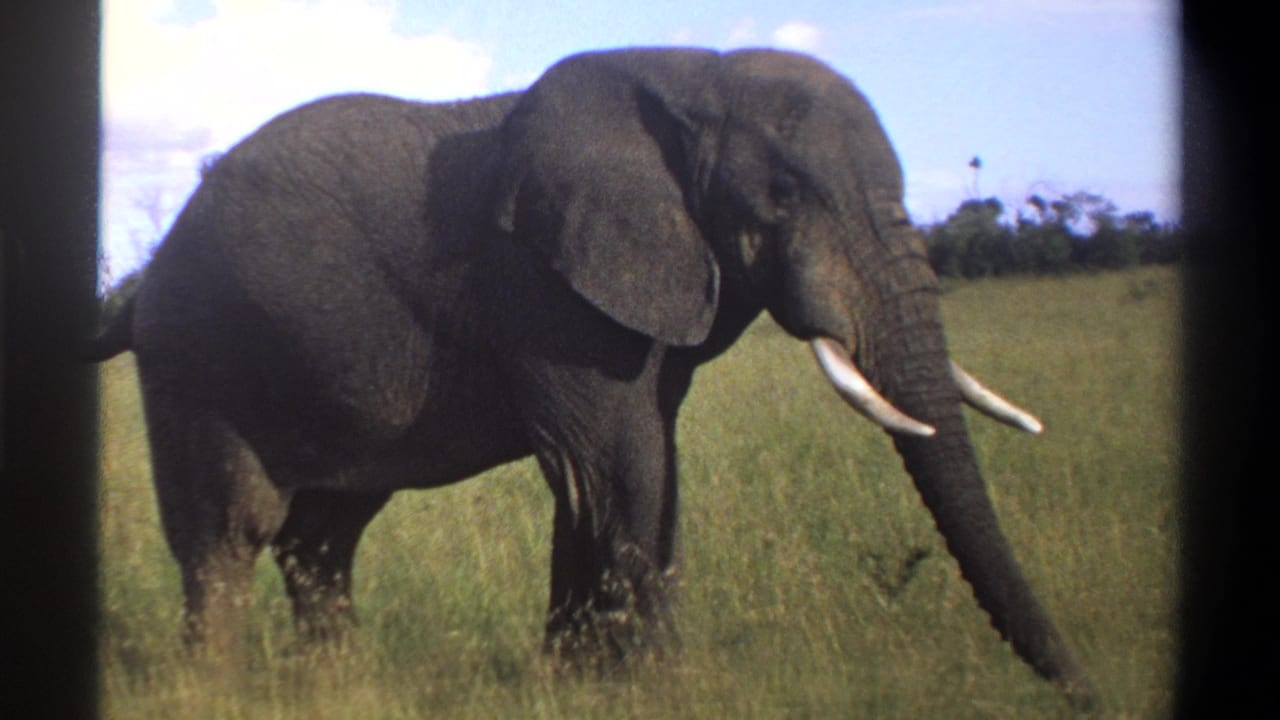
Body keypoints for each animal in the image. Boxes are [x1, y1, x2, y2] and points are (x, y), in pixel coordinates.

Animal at [88, 47, 1097, 710]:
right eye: (783, 196)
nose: (1089, 692)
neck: (694, 76)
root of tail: (145, 279)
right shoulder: (547, 289)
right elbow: (620, 467)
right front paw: (660, 689)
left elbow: (636, 472)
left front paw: (574, 686)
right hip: (199, 359)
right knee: (231, 531)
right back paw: (215, 691)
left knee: (325, 538)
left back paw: (338, 688)